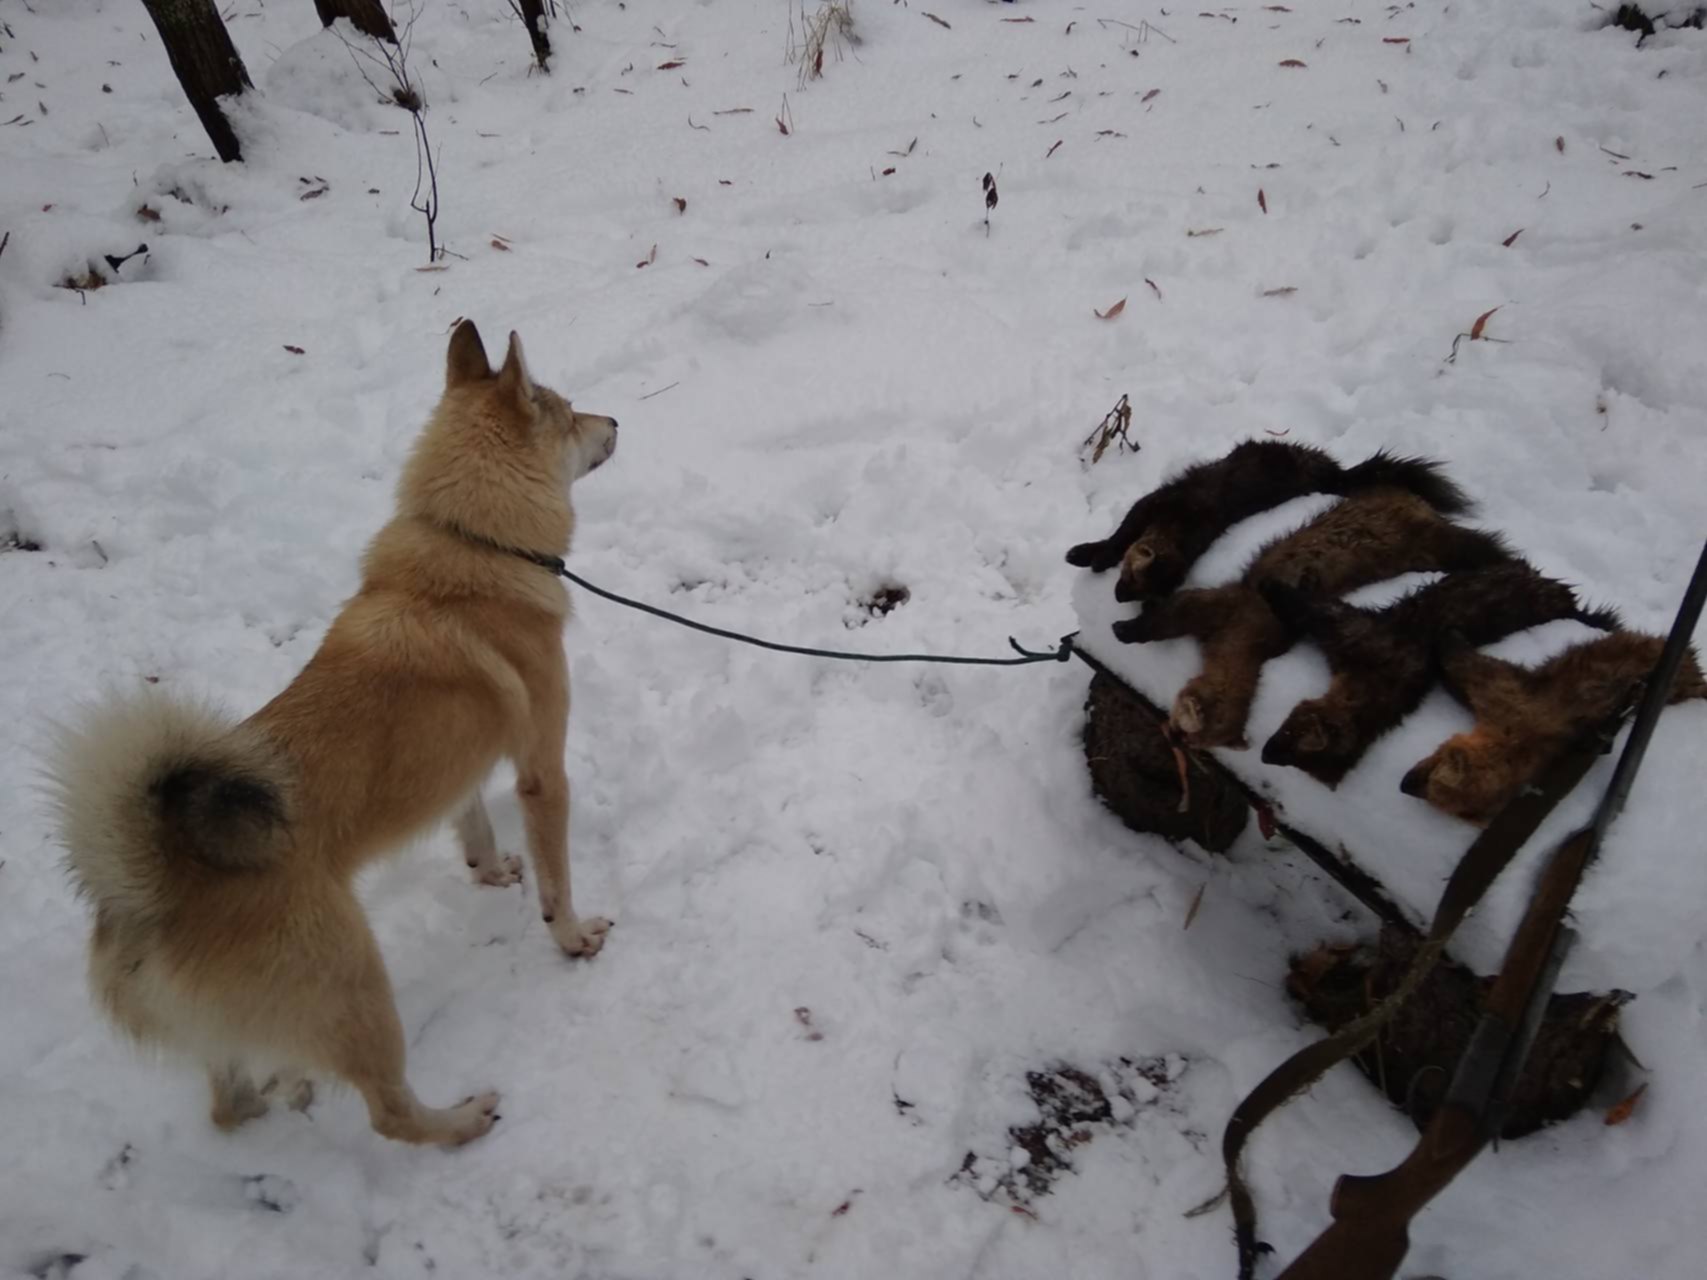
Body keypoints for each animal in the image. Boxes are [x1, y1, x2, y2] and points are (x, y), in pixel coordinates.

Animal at [43, 322, 621, 1153]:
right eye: (571, 414)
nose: (617, 423)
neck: (475, 547)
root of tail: (148, 884)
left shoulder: (461, 772)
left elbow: (474, 825)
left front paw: (487, 872)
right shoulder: (541, 770)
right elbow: (556, 884)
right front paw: (572, 938)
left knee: (227, 1104)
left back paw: (280, 1090)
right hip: (357, 987)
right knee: (388, 1113)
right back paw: (458, 1122)